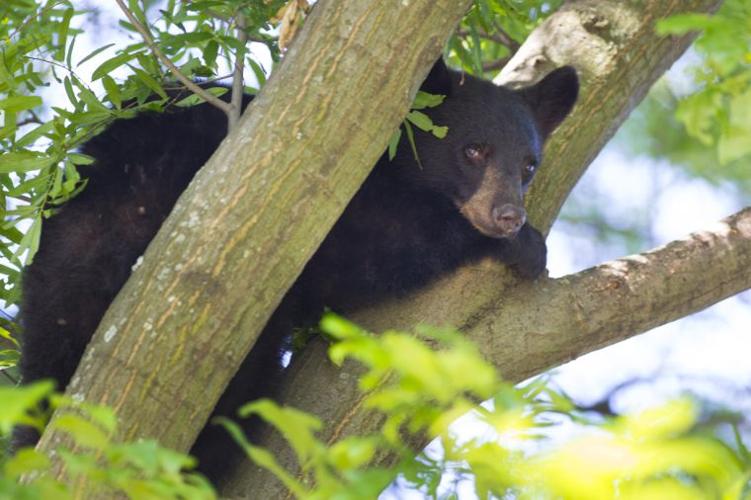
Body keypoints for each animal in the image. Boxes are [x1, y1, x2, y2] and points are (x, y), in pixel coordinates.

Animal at [14, 59, 578, 481]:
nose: (507, 216)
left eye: (528, 165)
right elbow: (367, 247)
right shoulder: (315, 209)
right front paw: (526, 247)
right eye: (473, 150)